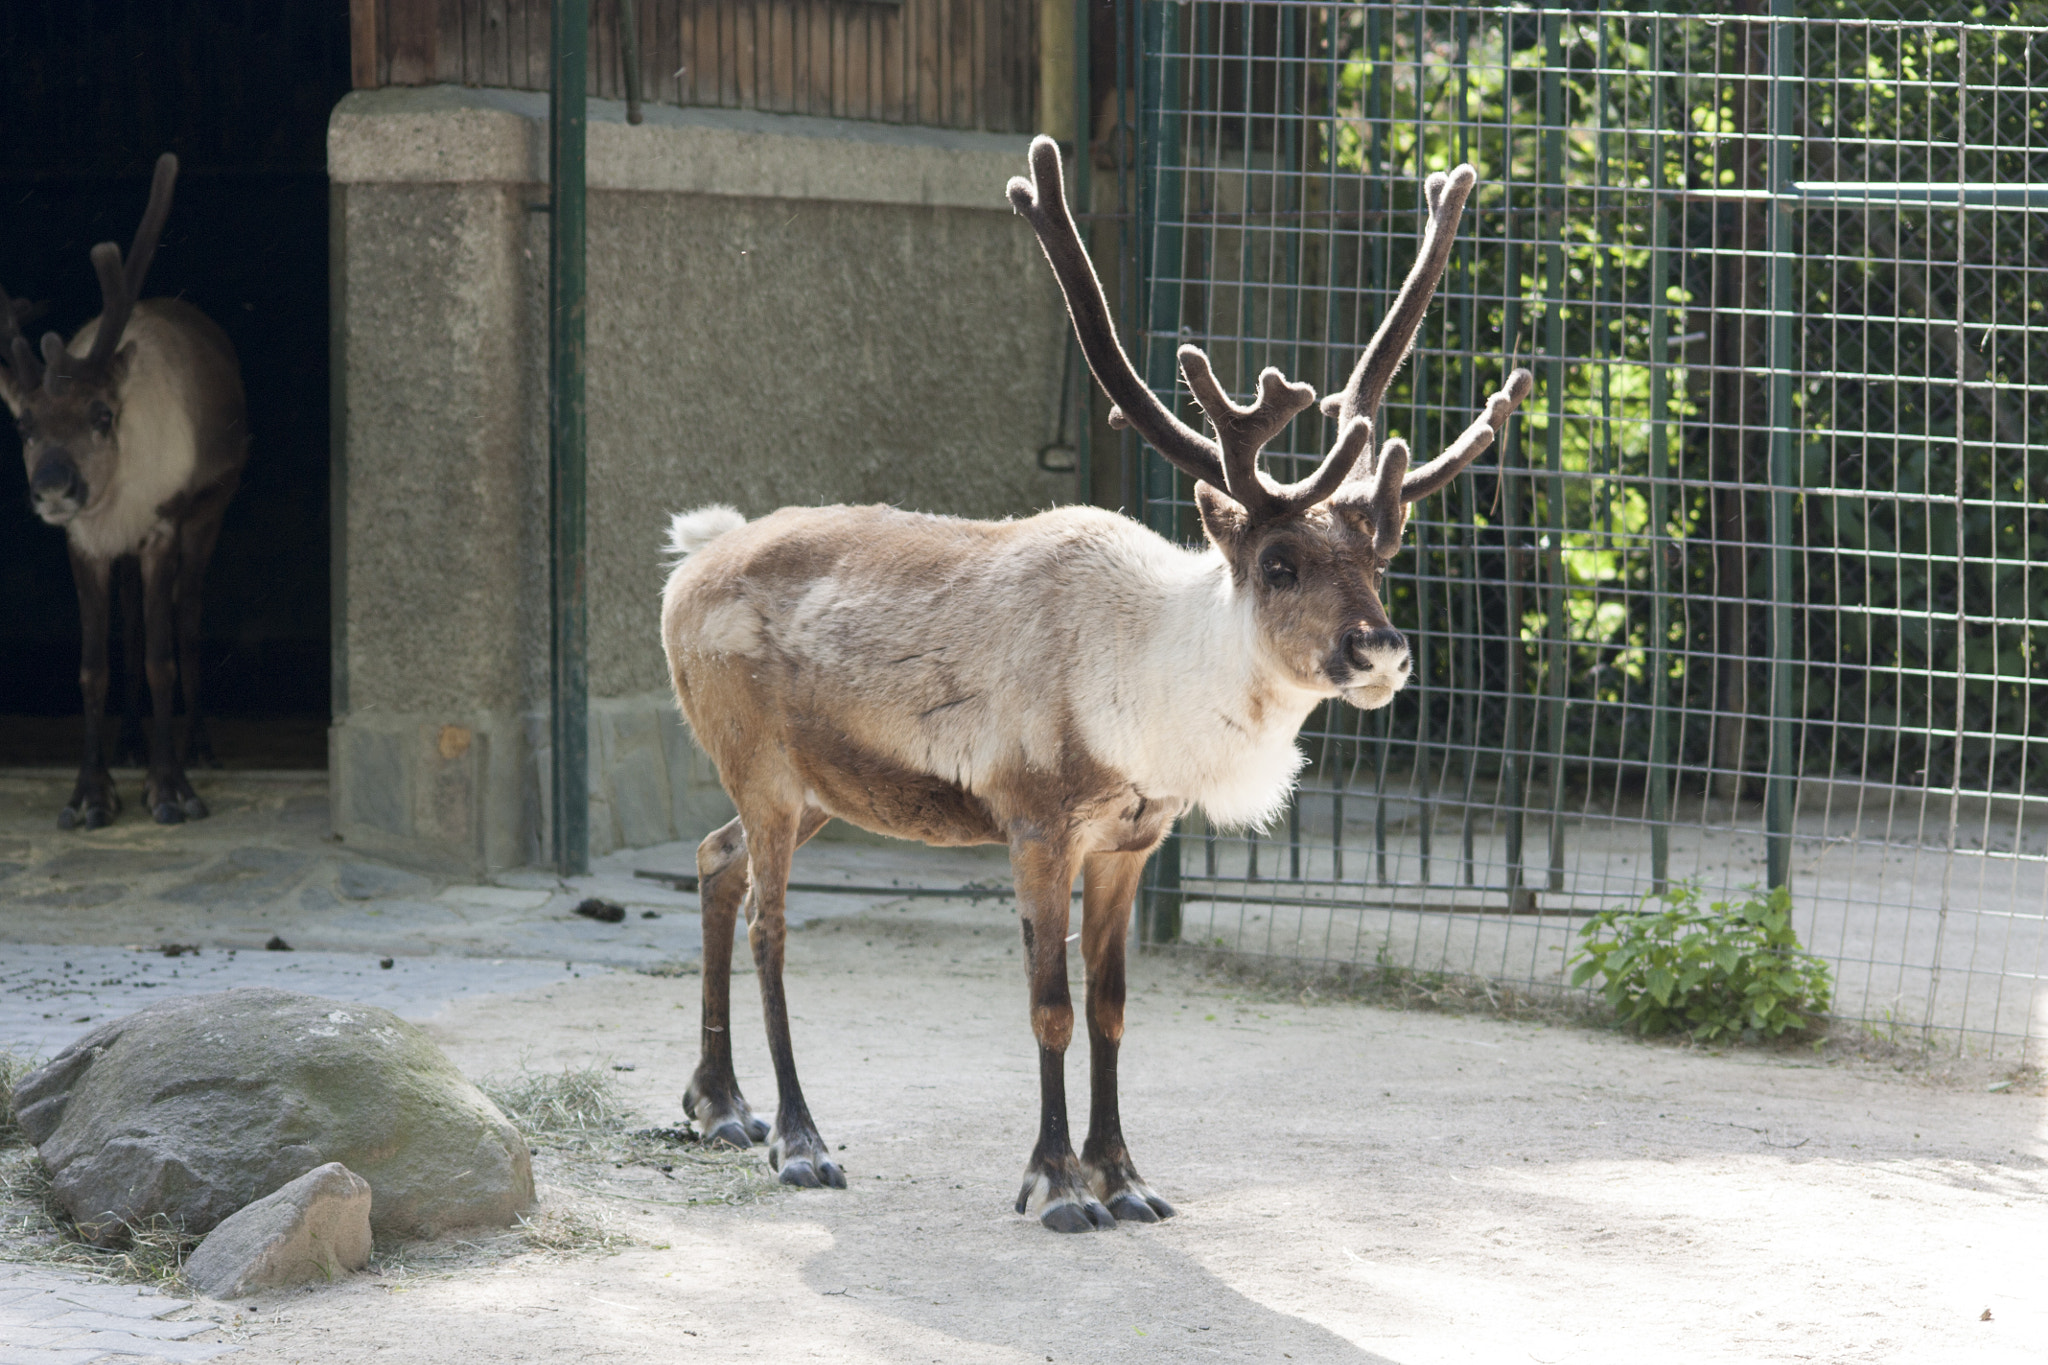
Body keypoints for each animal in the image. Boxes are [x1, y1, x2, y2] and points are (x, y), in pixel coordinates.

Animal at [1, 154, 249, 829]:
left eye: (102, 414)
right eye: (24, 425)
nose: (52, 488)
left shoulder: (161, 527)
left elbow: (162, 659)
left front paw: (171, 791)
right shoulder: (85, 543)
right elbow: (94, 667)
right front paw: (90, 793)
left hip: (210, 514)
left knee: (187, 620)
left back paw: (199, 747)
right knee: (134, 626)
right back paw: (133, 742)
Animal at [658, 137, 1532, 1232]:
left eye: (1381, 554)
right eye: (1279, 562)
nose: (1381, 651)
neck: (1147, 679)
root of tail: (687, 566)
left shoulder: (1132, 839)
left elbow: (1112, 1007)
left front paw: (1125, 1177)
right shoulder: (1037, 825)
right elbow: (1051, 1004)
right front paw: (1058, 1182)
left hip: (816, 787)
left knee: (713, 860)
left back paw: (718, 1103)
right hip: (763, 769)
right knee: (770, 925)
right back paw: (799, 1140)